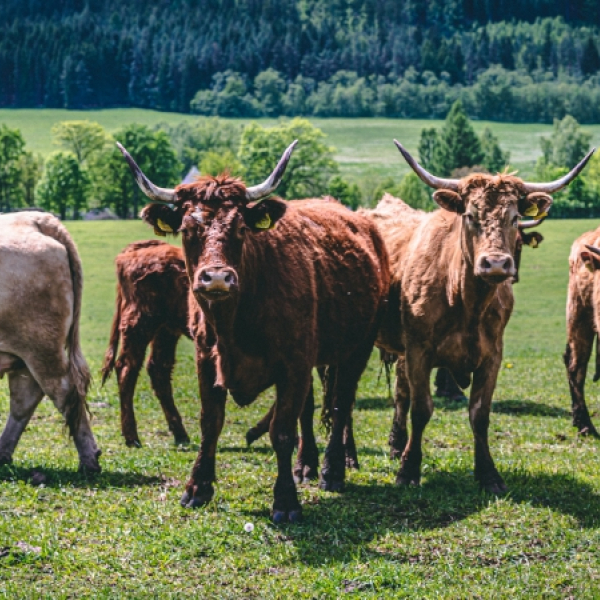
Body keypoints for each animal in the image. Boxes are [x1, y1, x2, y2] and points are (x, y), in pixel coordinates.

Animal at [101, 241, 190, 448]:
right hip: (140, 325)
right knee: (127, 368)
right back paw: (132, 437)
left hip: (166, 330)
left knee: (158, 369)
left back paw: (180, 434)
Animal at [117, 143, 390, 524]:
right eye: (187, 229)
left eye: (240, 229)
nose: (216, 277)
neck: (236, 320)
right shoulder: (208, 359)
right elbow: (211, 422)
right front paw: (197, 488)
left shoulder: (294, 363)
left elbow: (282, 430)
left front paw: (286, 501)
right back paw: (305, 465)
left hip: (357, 347)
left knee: (340, 403)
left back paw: (332, 471)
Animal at [372, 143, 592, 494]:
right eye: (470, 216)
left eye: (515, 217)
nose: (497, 264)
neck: (465, 301)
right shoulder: (419, 351)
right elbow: (422, 409)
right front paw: (409, 470)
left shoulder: (492, 356)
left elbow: (480, 414)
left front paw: (488, 474)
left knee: (400, 392)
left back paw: (395, 445)